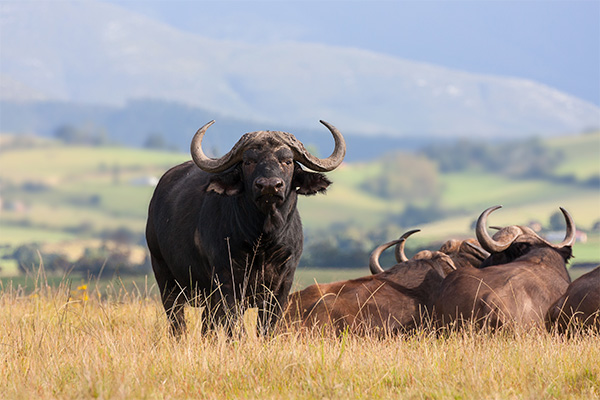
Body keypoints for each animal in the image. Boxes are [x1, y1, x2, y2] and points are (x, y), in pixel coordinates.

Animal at [146, 120, 346, 336]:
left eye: (287, 161)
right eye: (249, 161)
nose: (269, 186)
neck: (263, 241)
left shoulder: (282, 285)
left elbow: (267, 327)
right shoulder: (227, 283)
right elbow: (235, 327)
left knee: (207, 326)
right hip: (165, 277)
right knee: (177, 322)